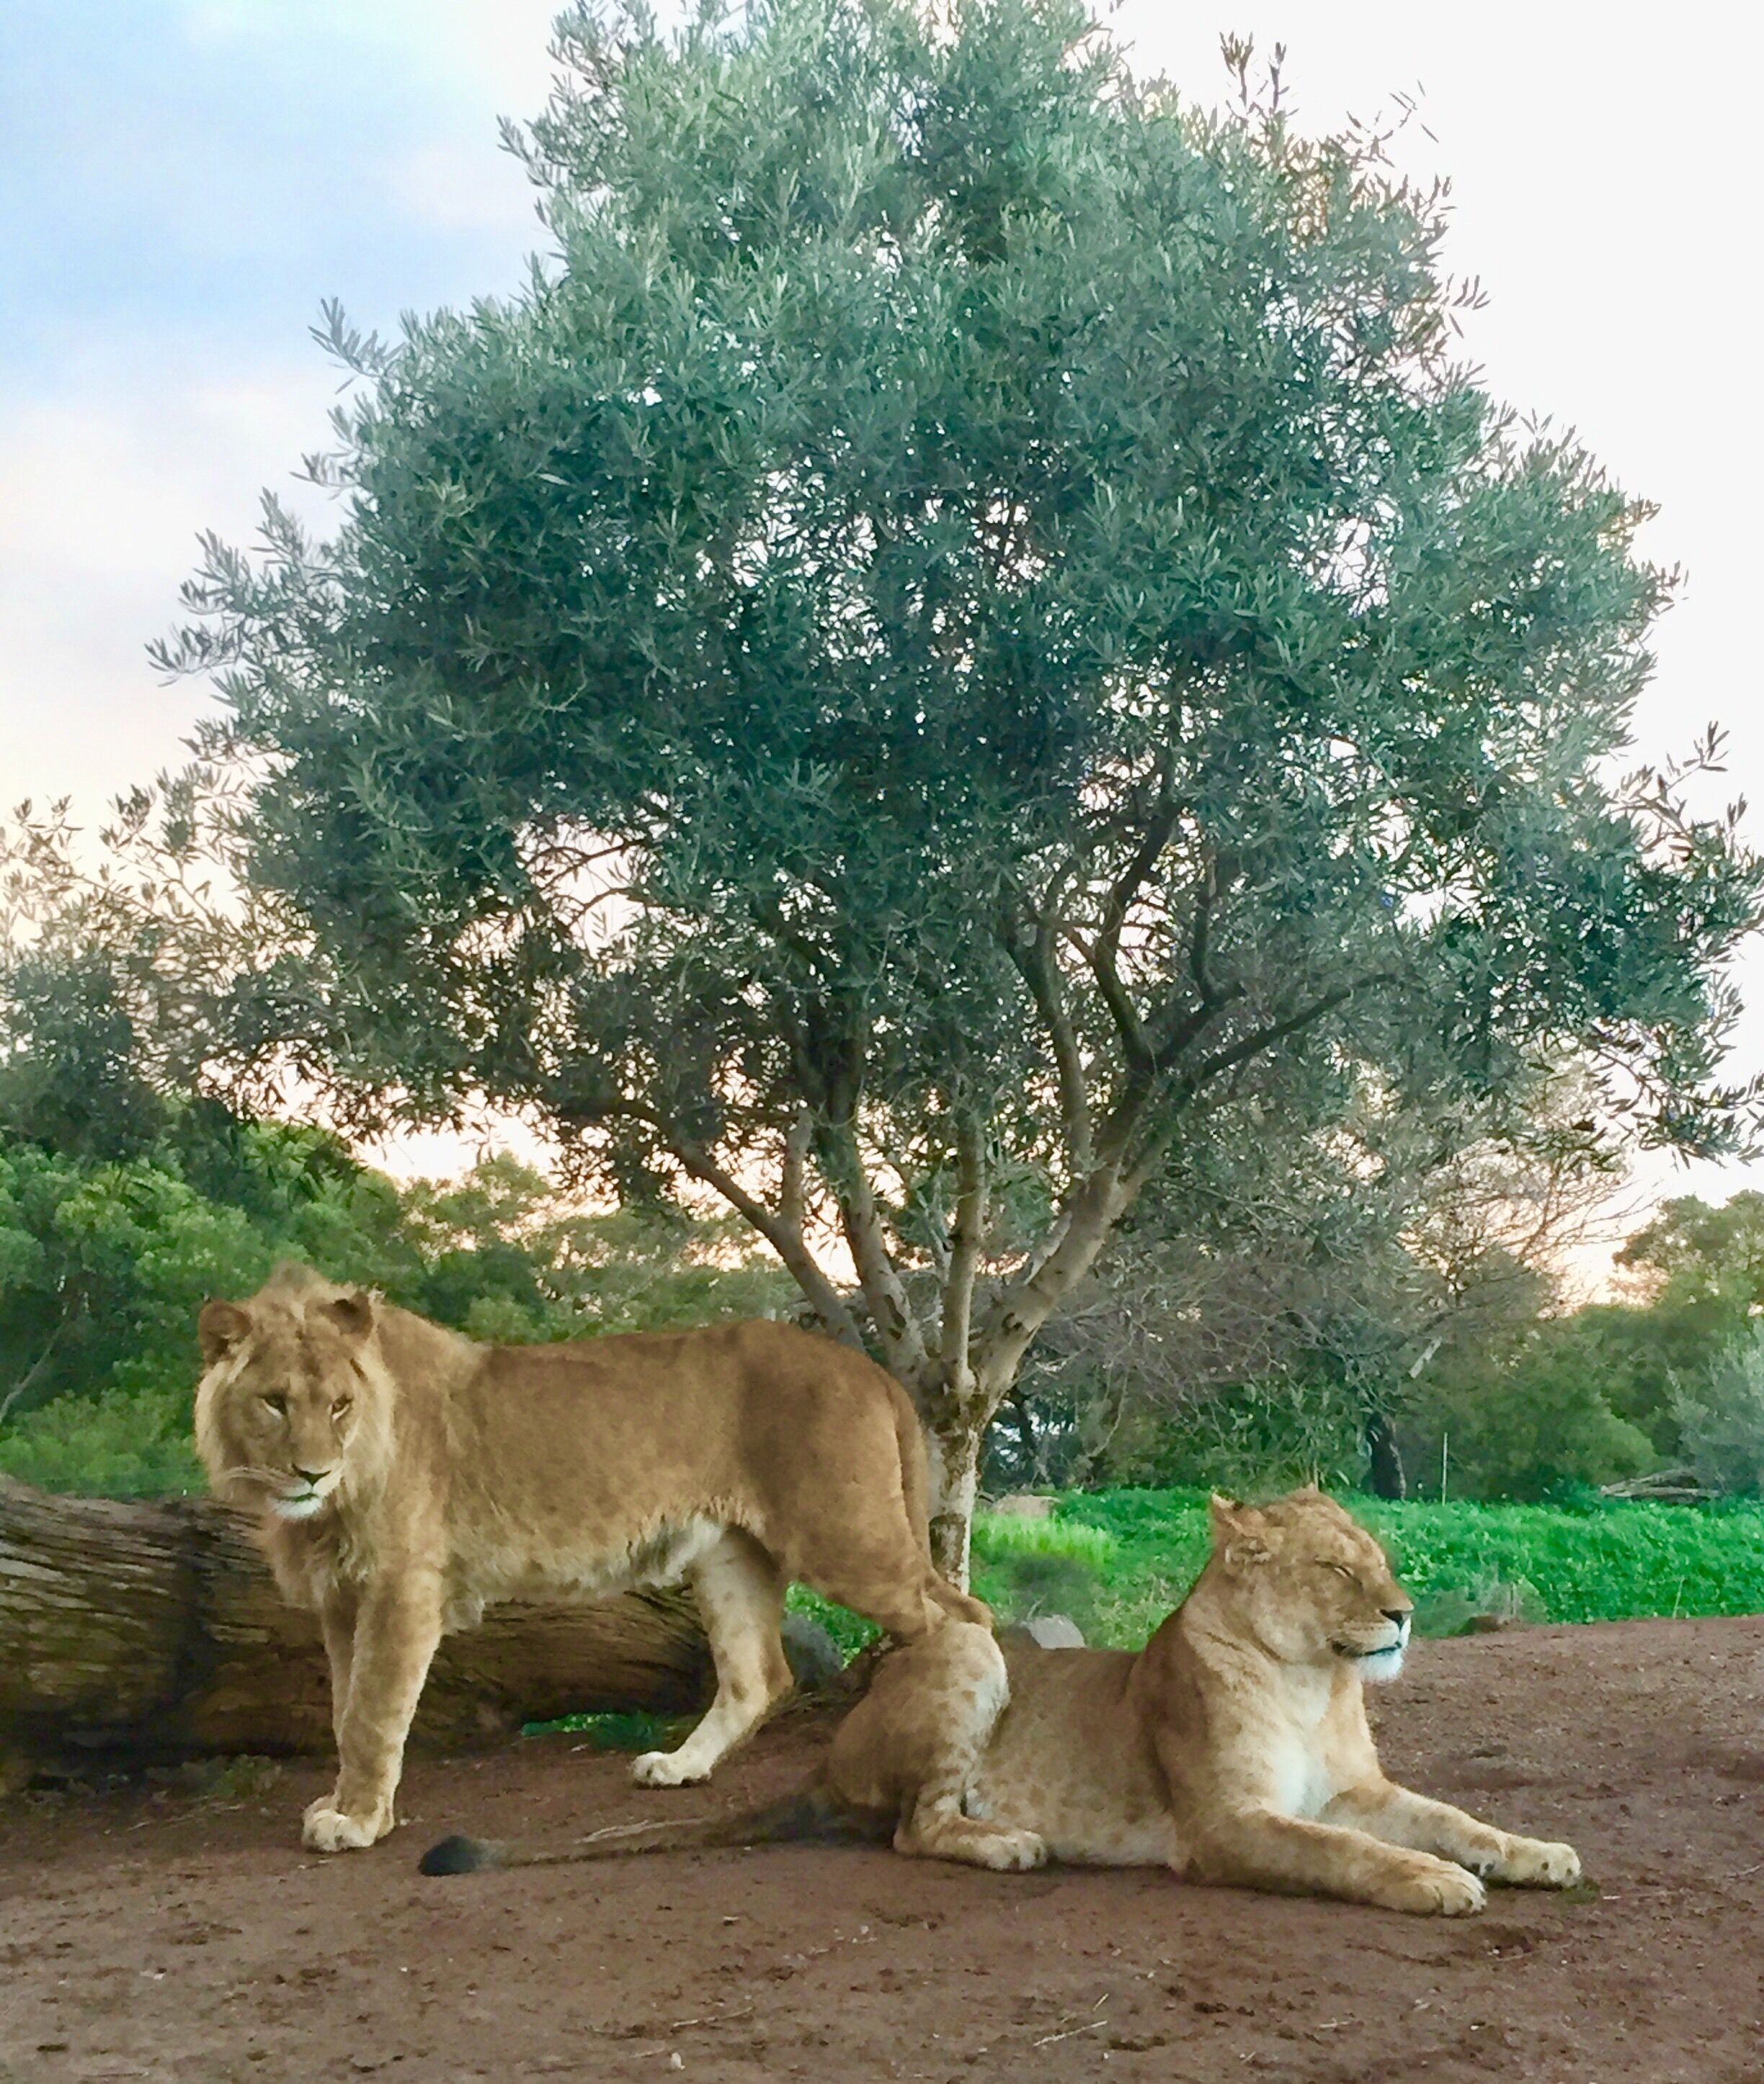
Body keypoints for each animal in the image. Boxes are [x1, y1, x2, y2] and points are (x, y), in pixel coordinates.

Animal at [193, 1261, 984, 1854]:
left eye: (339, 1405)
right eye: (274, 1403)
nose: (312, 1473)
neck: (329, 1505)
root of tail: (867, 1368)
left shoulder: (401, 1588)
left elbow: (371, 1713)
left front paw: (355, 1822)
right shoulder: (340, 1599)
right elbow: (342, 1710)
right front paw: (355, 1805)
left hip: (845, 1538)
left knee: (965, 1621)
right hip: (729, 1558)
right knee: (760, 1675)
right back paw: (680, 1767)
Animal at [419, 1489, 1581, 1917]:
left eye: (1379, 1558)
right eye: (1339, 1569)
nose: (1406, 1615)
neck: (1310, 1678)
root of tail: (827, 1759)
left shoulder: (1356, 1790)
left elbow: (1451, 1815)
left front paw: (1533, 1854)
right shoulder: (1227, 1826)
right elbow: (1350, 1854)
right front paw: (1436, 1883)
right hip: (971, 1650)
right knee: (914, 1829)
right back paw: (1010, 1842)